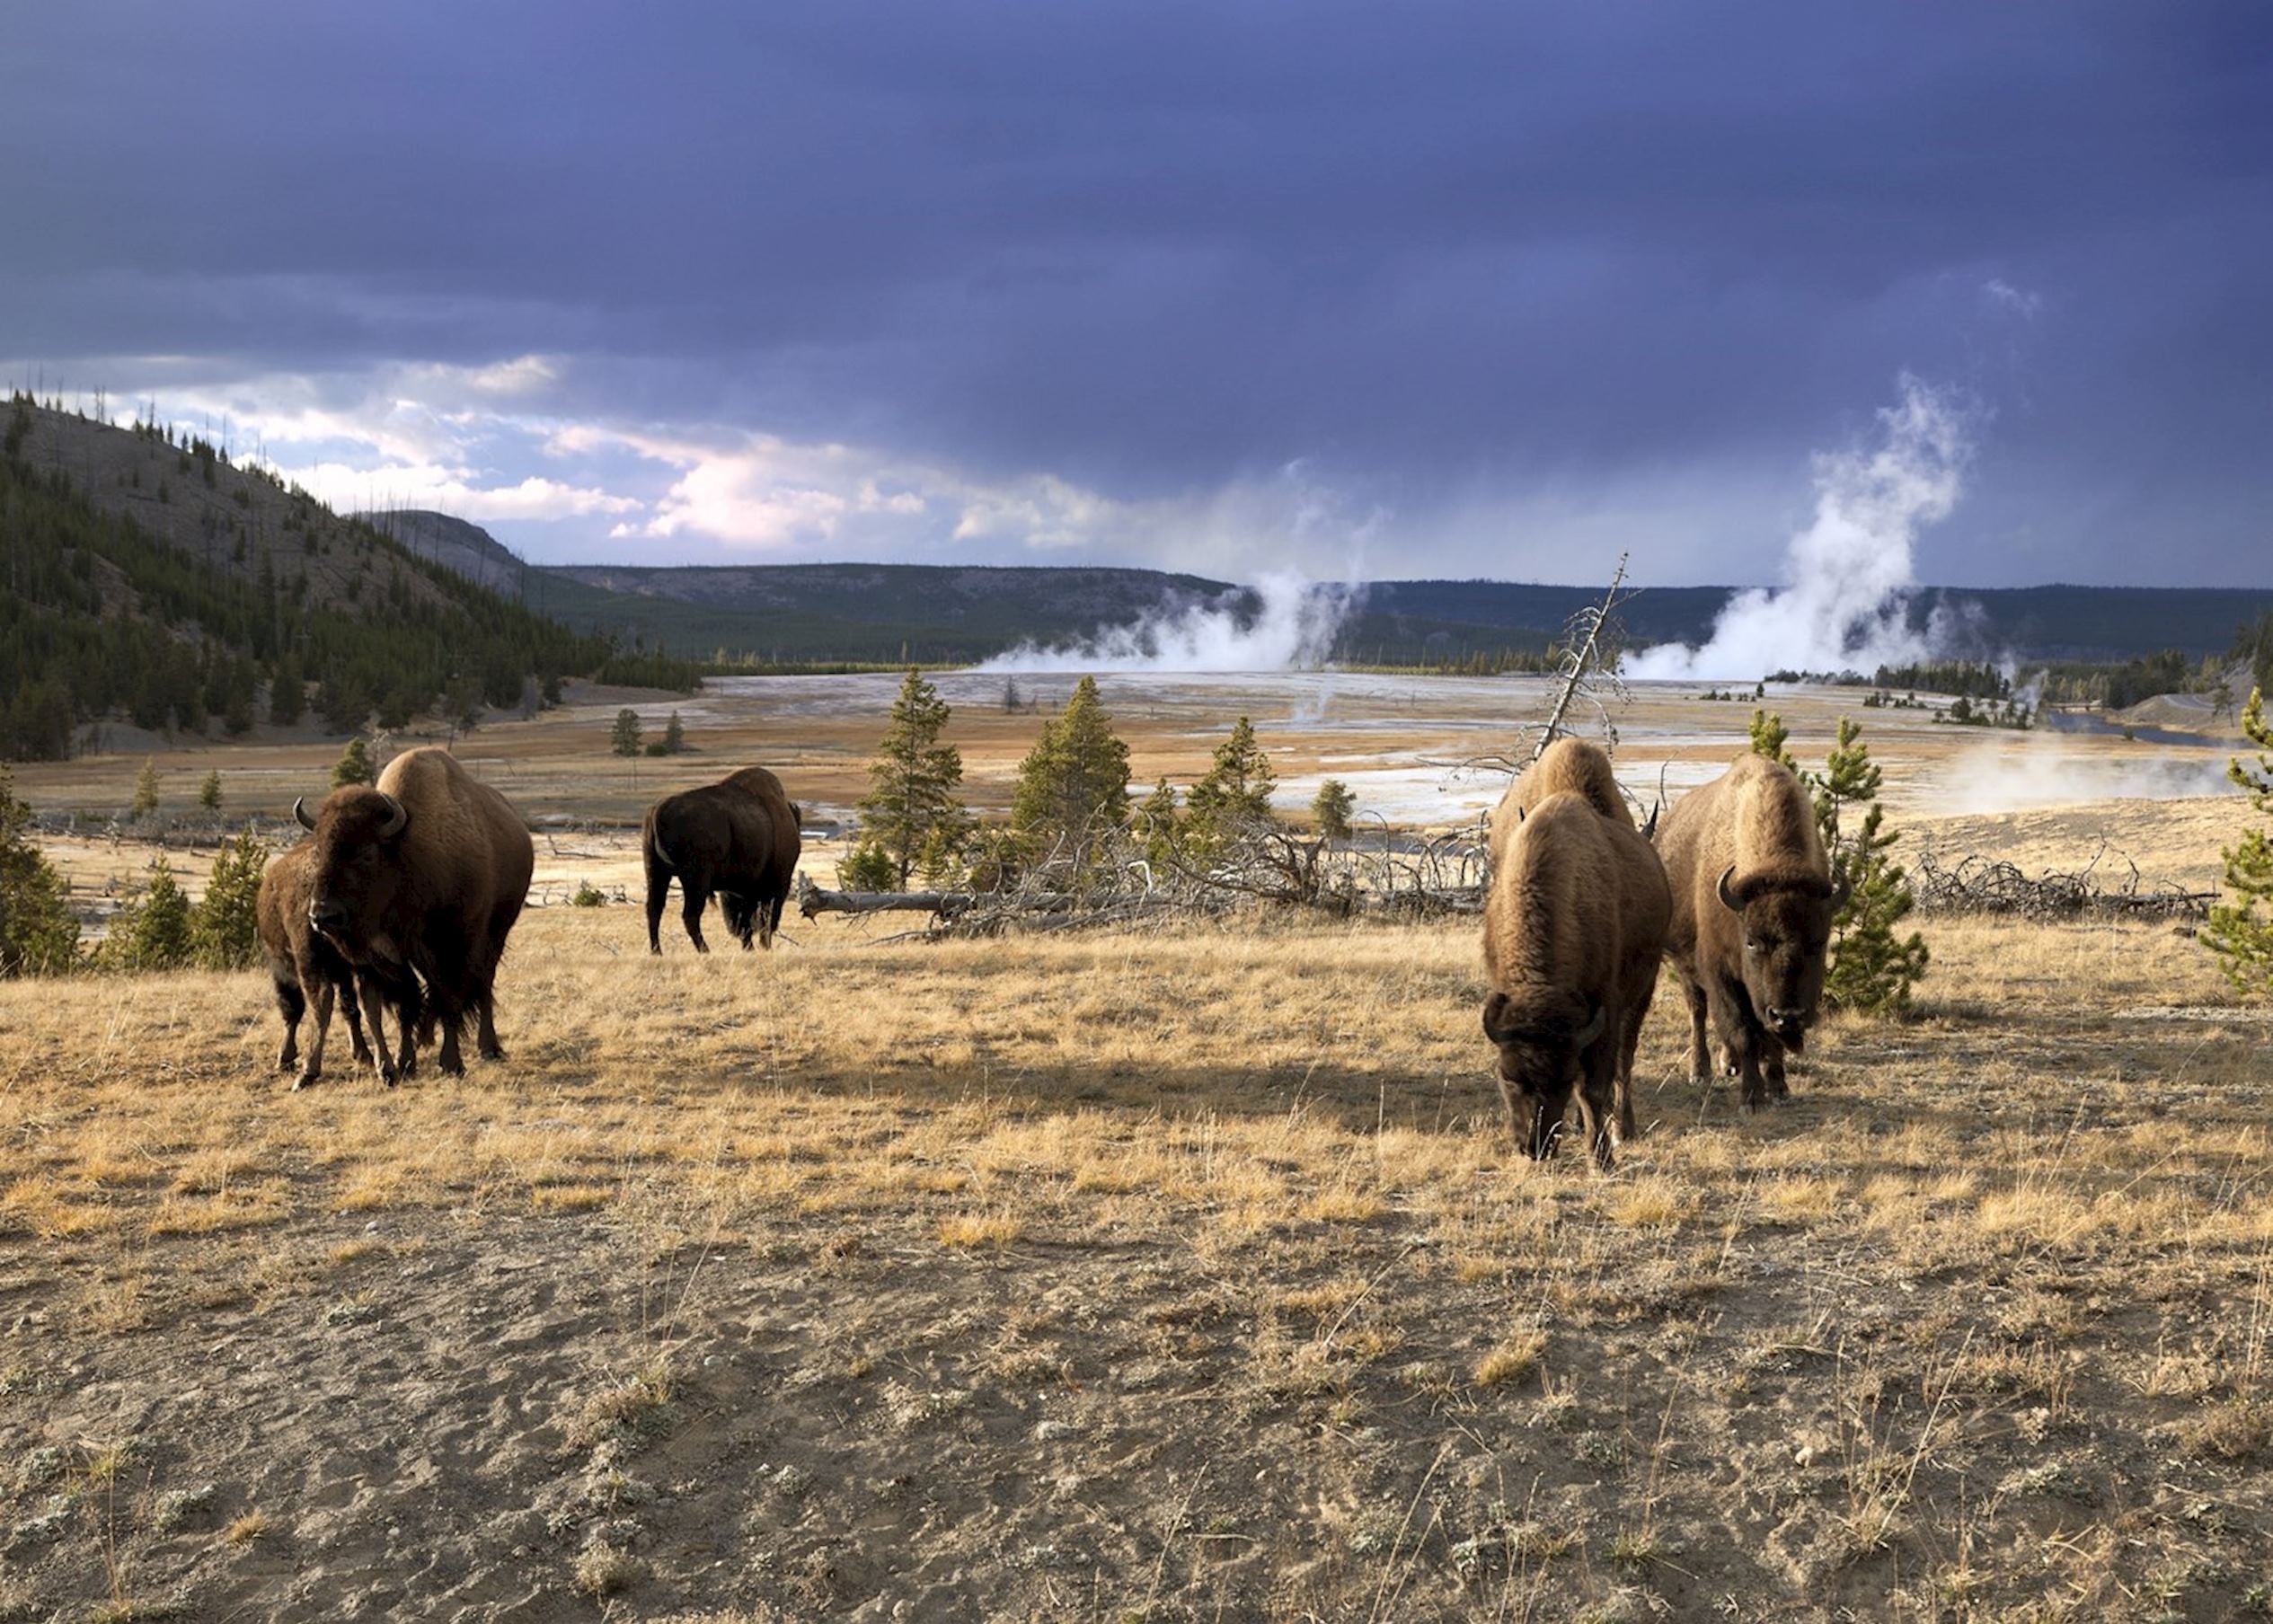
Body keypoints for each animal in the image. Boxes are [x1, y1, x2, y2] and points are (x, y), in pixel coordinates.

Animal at [295, 745, 534, 1081]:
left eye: (367, 854)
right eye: (319, 851)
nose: (322, 916)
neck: (407, 854)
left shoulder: (451, 947)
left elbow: (448, 997)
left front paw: (451, 1063)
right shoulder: (392, 953)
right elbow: (407, 1004)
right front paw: (405, 1062)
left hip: (496, 933)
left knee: (484, 983)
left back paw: (489, 1048)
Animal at [645, 767, 804, 954]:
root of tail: (659, 810)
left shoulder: (738, 891)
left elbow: (745, 921)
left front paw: (750, 948)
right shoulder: (774, 887)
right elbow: (764, 918)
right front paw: (762, 947)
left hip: (656, 872)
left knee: (654, 909)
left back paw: (657, 951)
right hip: (696, 880)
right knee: (690, 915)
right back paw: (705, 950)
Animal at [1473, 785, 1673, 1171]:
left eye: (1562, 1081)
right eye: (1508, 1076)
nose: (1533, 1147)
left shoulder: (1606, 1009)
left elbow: (1593, 1087)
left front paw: (1602, 1159)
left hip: (1643, 990)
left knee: (1625, 1061)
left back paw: (1623, 1128)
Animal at [1654, 754, 1845, 1113]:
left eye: (1818, 942)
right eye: (1752, 942)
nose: (1788, 1016)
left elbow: (1767, 1038)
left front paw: (1779, 1087)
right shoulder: (1721, 973)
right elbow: (1743, 1030)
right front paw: (1752, 1099)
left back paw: (1730, 1064)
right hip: (1684, 965)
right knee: (1698, 1011)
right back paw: (1700, 1071)